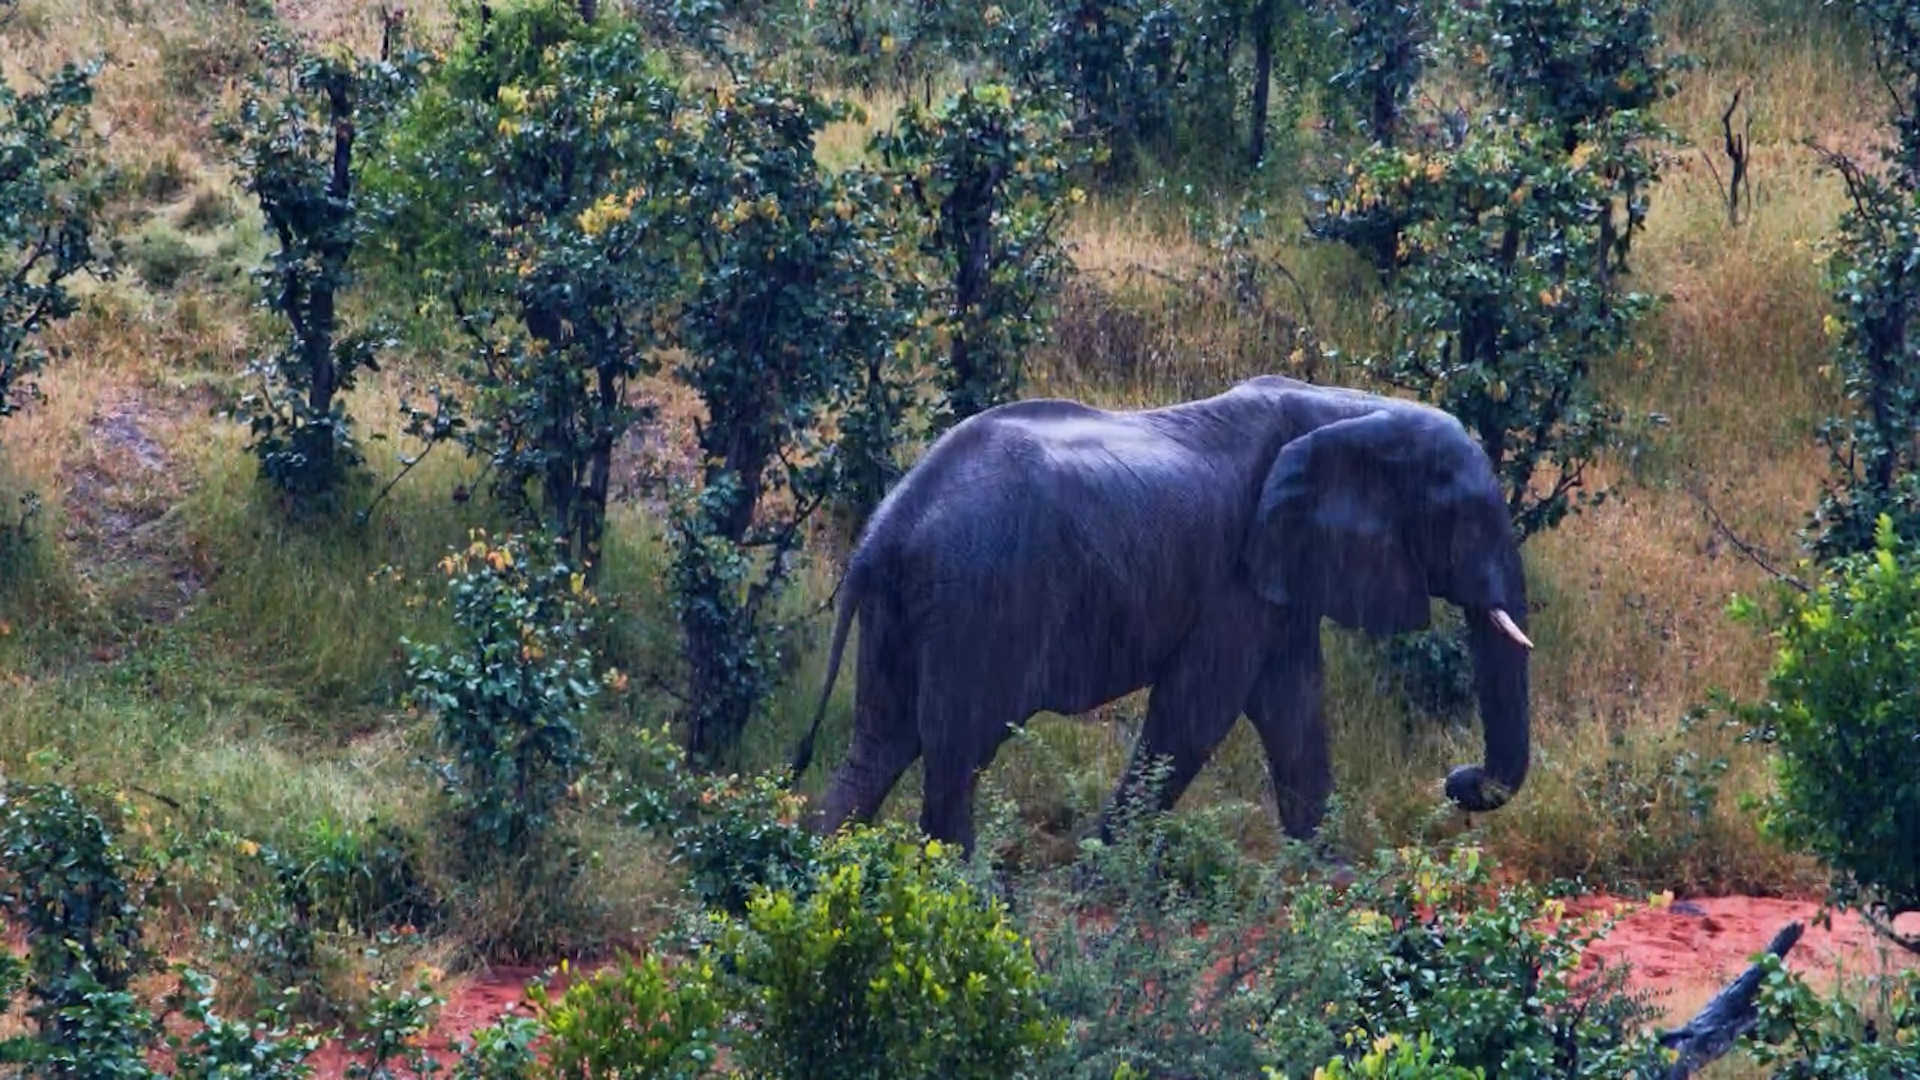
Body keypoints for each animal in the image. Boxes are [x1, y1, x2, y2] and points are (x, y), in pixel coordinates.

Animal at [789, 374, 1535, 858]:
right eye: (1466, 521)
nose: (1458, 781)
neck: (1353, 407)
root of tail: (888, 527)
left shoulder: (1279, 572)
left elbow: (1292, 706)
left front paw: (1331, 890)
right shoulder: (1235, 576)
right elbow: (1198, 712)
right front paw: (1099, 872)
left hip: (908, 609)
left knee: (879, 744)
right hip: (977, 602)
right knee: (955, 754)